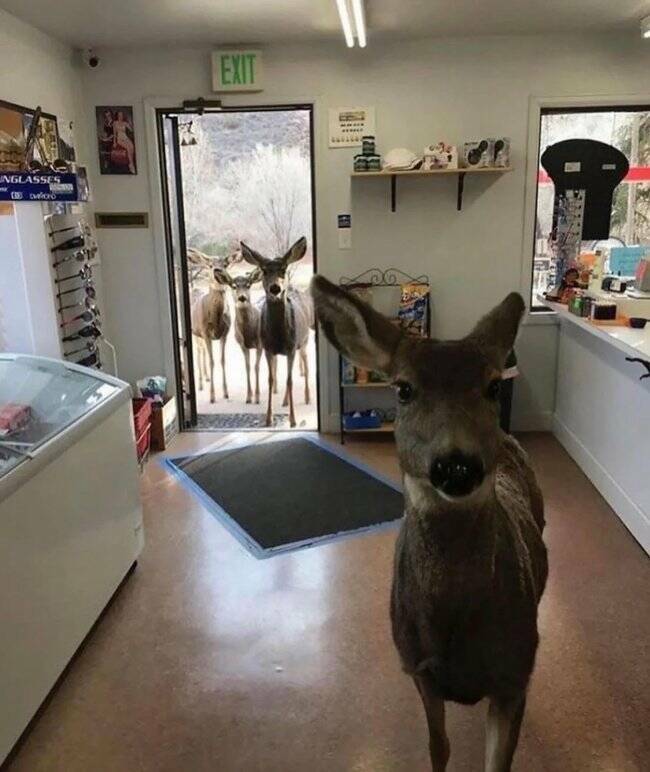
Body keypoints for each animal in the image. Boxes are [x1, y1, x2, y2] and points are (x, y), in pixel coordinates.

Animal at [213, 266, 264, 404]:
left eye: (248, 285)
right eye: (234, 286)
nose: (242, 298)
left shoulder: (260, 344)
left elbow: (256, 367)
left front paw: (257, 397)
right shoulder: (242, 345)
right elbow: (247, 367)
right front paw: (248, 397)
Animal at [240, 237, 313, 427]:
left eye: (283, 269)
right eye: (264, 270)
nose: (275, 288)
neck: (279, 335)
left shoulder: (291, 347)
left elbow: (290, 380)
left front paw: (293, 420)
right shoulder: (268, 348)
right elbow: (271, 379)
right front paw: (268, 418)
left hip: (304, 342)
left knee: (305, 366)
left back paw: (307, 397)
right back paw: (285, 402)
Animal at [311, 275, 548, 772]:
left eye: (492, 387)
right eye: (403, 389)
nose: (456, 465)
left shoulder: (514, 673)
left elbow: (498, 761)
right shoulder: (417, 668)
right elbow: (438, 747)